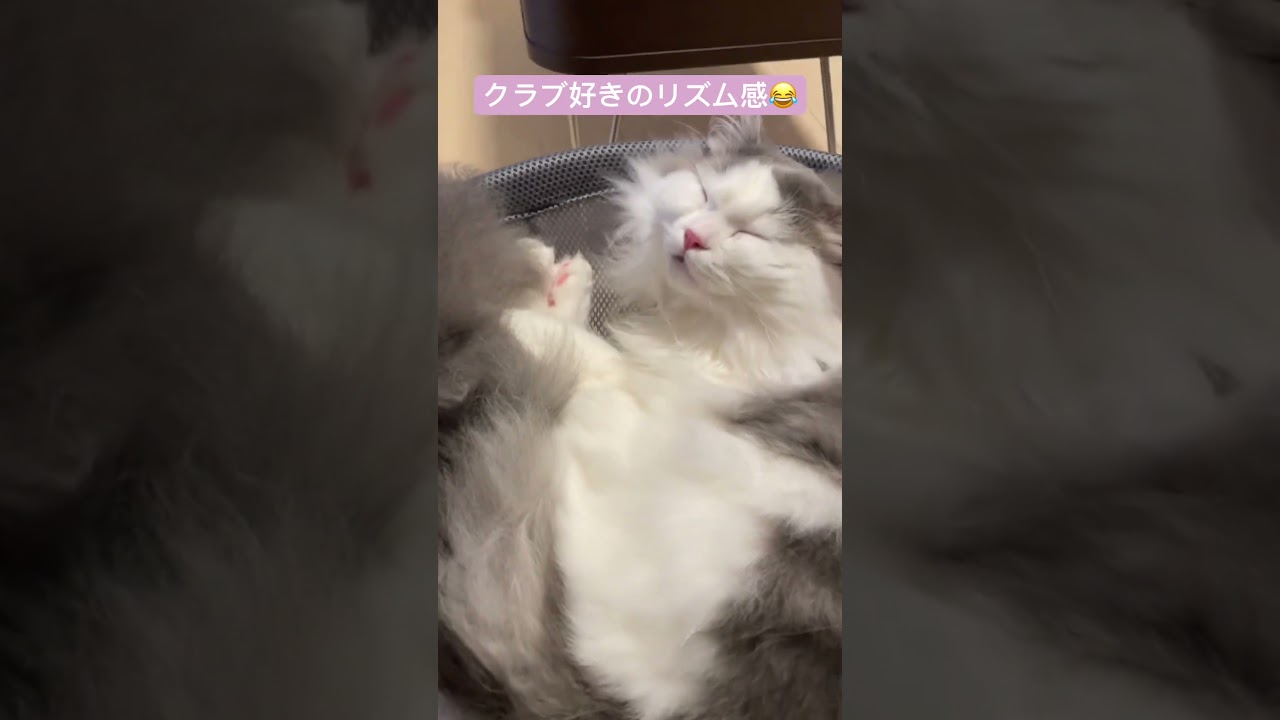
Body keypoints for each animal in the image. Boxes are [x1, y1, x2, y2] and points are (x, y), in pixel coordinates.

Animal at [437, 126, 844, 719]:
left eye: (751, 233)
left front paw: (524, 304)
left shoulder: (672, 375)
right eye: (704, 194)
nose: (693, 237)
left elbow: (573, 345)